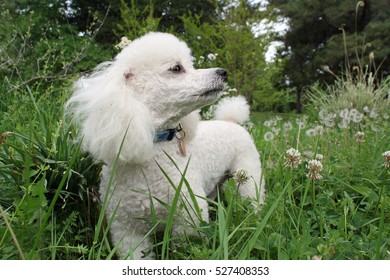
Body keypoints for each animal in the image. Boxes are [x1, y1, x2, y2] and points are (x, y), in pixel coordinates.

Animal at [66, 31, 266, 260]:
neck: (157, 147)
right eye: (176, 68)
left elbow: (186, 248)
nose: (223, 72)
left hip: (249, 174)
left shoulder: (187, 220)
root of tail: (231, 121)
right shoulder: (127, 230)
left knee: (254, 197)